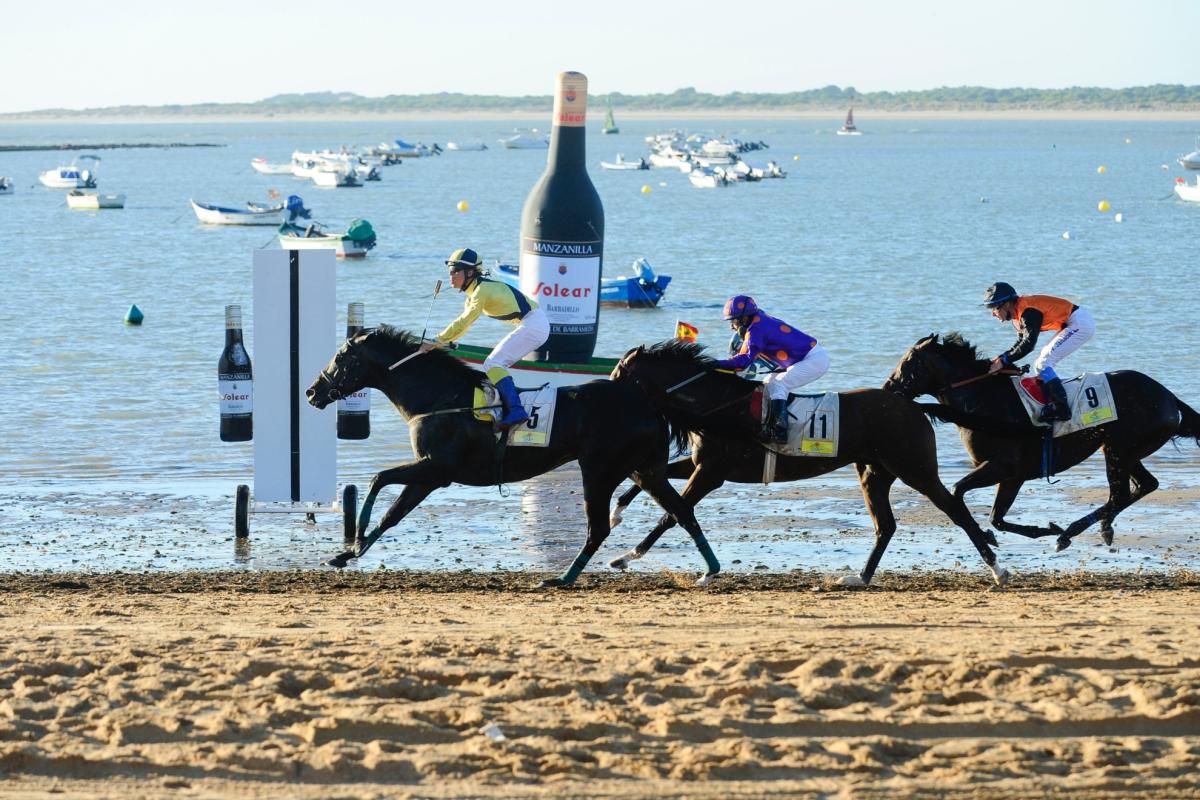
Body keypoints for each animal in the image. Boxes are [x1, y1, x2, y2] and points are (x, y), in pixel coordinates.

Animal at [304, 326, 715, 587]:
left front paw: (354, 541)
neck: (439, 396)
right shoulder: (429, 476)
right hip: (644, 470)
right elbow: (392, 514)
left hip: (598, 470)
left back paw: (562, 578)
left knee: (600, 527)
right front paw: (346, 554)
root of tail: (645, 400)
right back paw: (709, 569)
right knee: (681, 511)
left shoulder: (436, 469)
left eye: (340, 356)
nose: (311, 391)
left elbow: (378, 480)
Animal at [604, 340, 1008, 587]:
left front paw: (627, 557)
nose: (605, 394)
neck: (717, 403)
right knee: (886, 527)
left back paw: (998, 569)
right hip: (875, 473)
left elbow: (671, 514)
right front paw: (617, 515)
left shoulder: (711, 473)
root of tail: (913, 406)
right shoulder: (704, 464)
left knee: (956, 511)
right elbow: (647, 484)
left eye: (620, 373)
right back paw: (859, 578)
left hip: (916, 469)